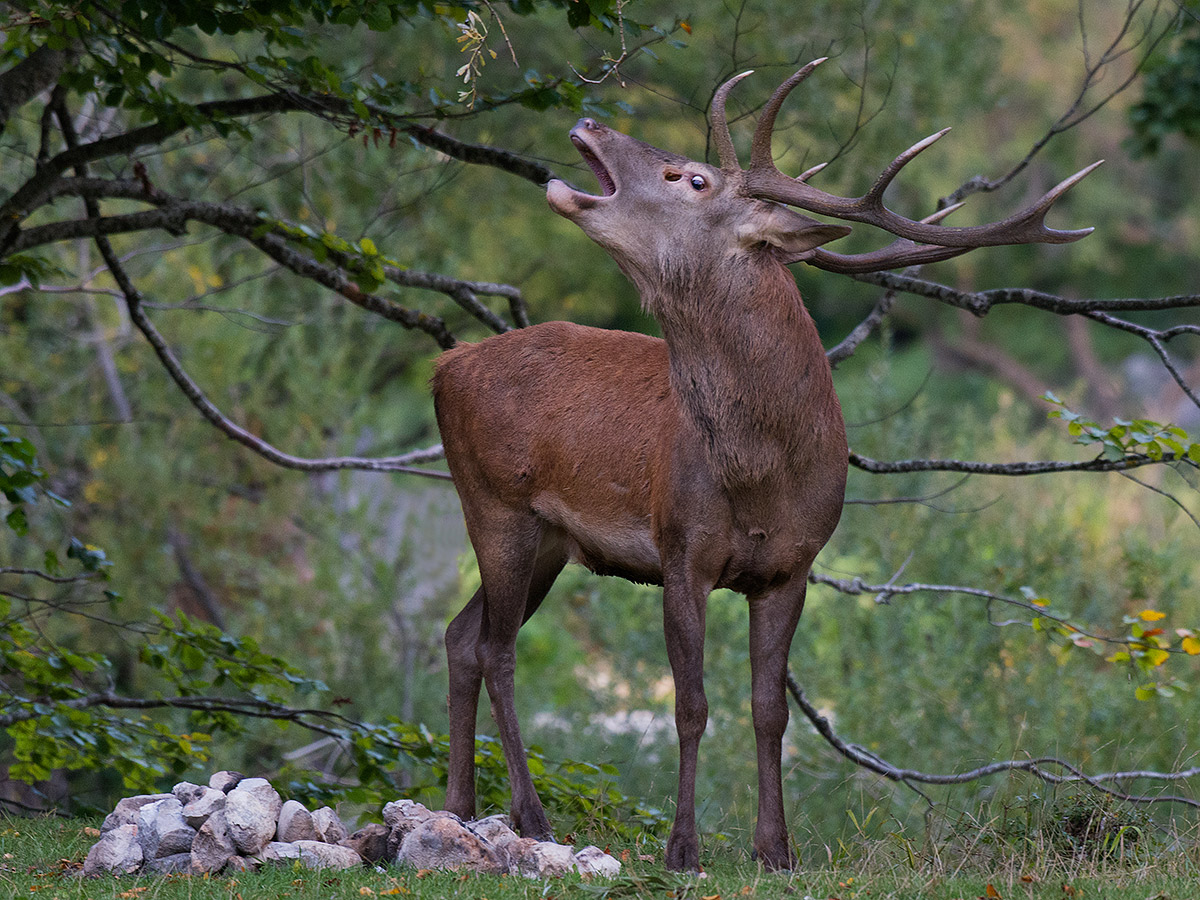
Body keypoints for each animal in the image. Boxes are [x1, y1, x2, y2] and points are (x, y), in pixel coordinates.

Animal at [431, 59, 1098, 872]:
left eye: (691, 179)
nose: (589, 121)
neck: (762, 475)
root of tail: (445, 367)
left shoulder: (793, 567)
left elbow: (769, 709)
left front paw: (776, 849)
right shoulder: (680, 548)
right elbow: (690, 706)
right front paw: (684, 848)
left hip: (550, 542)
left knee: (462, 636)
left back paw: (460, 807)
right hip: (495, 506)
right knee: (496, 649)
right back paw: (530, 816)